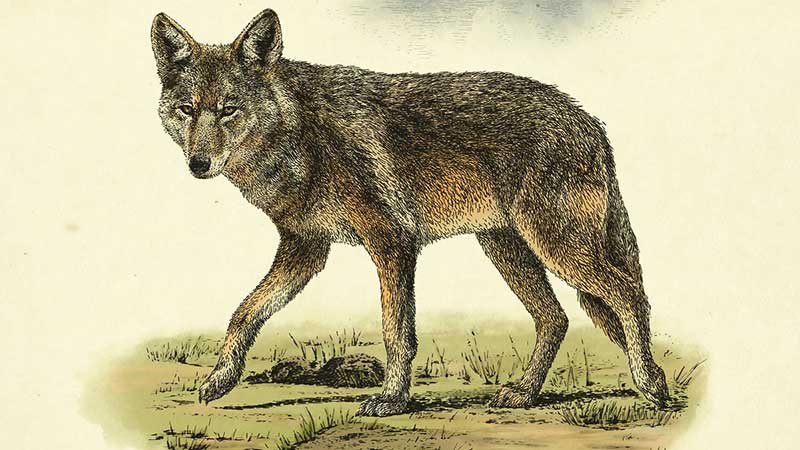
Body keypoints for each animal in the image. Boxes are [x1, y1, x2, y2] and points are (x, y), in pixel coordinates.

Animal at [150, 9, 670, 416]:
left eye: (229, 109)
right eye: (187, 110)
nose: (198, 164)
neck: (300, 137)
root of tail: (590, 120)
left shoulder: (391, 243)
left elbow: (396, 332)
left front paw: (393, 400)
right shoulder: (305, 251)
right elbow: (244, 312)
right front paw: (219, 380)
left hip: (554, 248)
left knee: (629, 294)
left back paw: (650, 384)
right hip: (508, 248)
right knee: (556, 318)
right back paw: (525, 393)